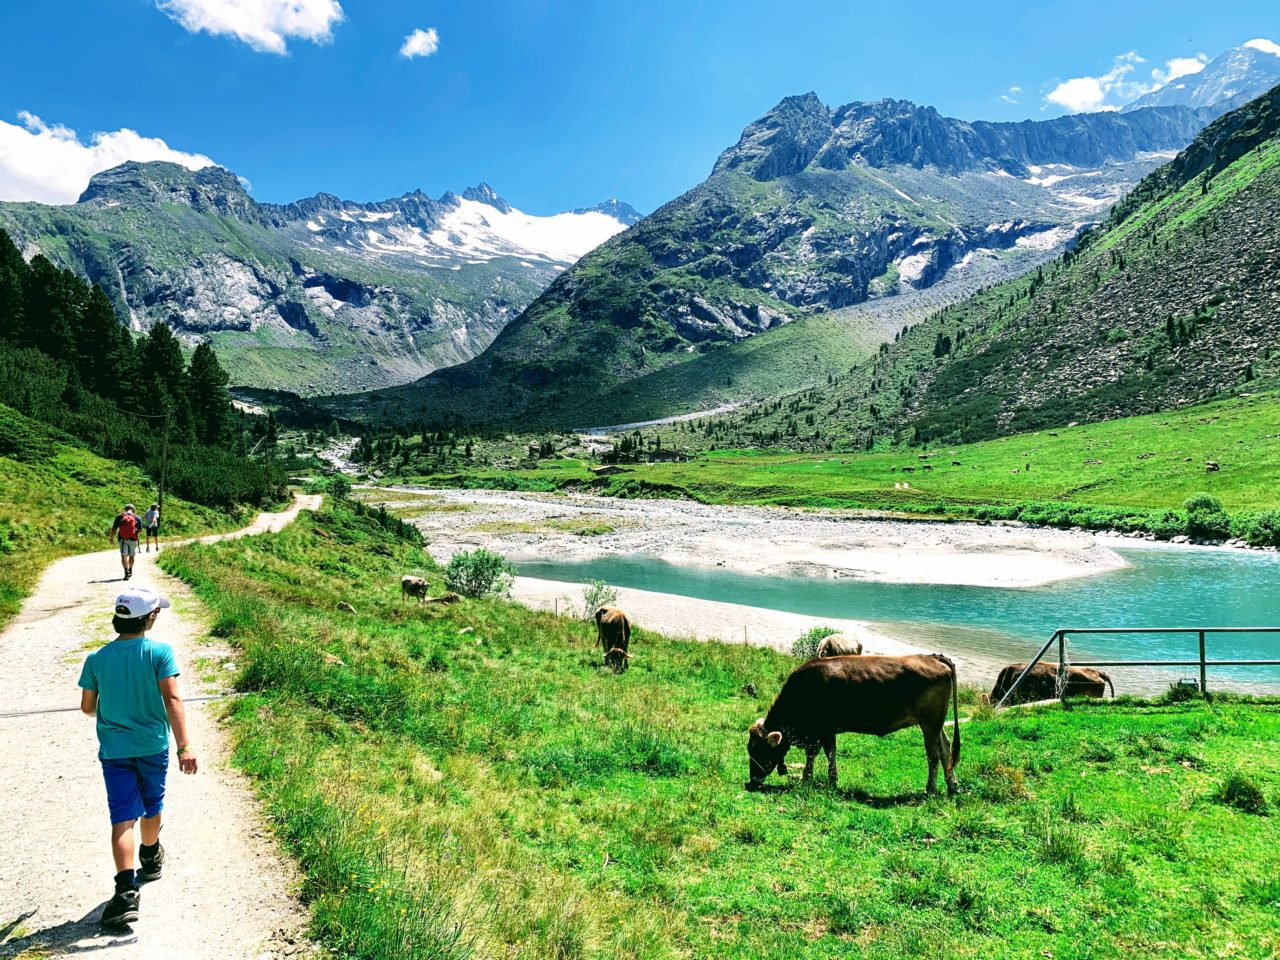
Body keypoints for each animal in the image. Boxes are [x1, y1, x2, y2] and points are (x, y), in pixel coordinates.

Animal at [742, 655, 962, 798]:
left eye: (758, 750)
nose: (753, 780)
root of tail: (932, 657)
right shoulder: (825, 731)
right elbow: (828, 753)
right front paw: (829, 780)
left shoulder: (822, 730)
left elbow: (816, 753)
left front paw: (811, 779)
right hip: (935, 724)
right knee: (945, 748)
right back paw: (952, 785)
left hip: (929, 723)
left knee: (933, 755)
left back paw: (930, 789)